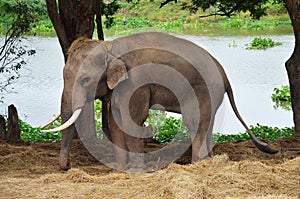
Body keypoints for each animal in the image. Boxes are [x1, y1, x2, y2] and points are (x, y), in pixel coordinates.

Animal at [43, 31, 278, 171]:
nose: (67, 166)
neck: (110, 46)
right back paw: (209, 161)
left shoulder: (136, 82)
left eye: (85, 80)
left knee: (194, 121)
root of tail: (222, 71)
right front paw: (120, 168)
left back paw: (196, 165)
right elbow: (116, 121)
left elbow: (134, 120)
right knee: (207, 122)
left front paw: (136, 170)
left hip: (203, 88)